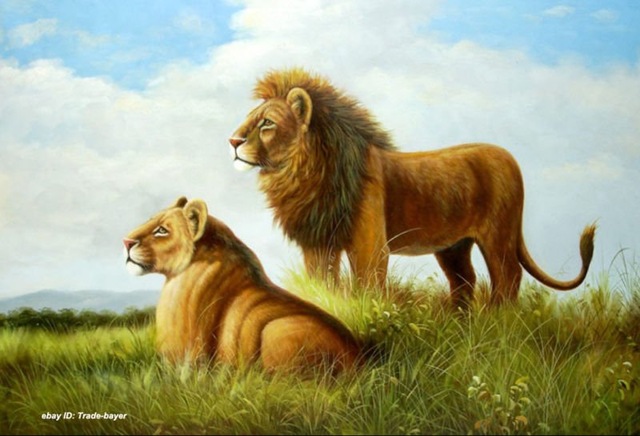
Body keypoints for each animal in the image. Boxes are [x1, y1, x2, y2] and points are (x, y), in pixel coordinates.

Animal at [123, 196, 361, 372]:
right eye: (150, 220)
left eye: (161, 230)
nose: (126, 242)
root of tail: (358, 363)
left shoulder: (190, 362)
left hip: (276, 330)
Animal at [228, 67, 596, 308]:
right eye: (248, 119)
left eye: (267, 123)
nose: (232, 141)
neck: (303, 174)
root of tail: (510, 157)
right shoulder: (317, 243)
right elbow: (321, 284)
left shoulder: (369, 244)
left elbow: (366, 286)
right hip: (453, 246)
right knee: (465, 281)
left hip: (499, 235)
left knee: (508, 278)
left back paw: (497, 322)